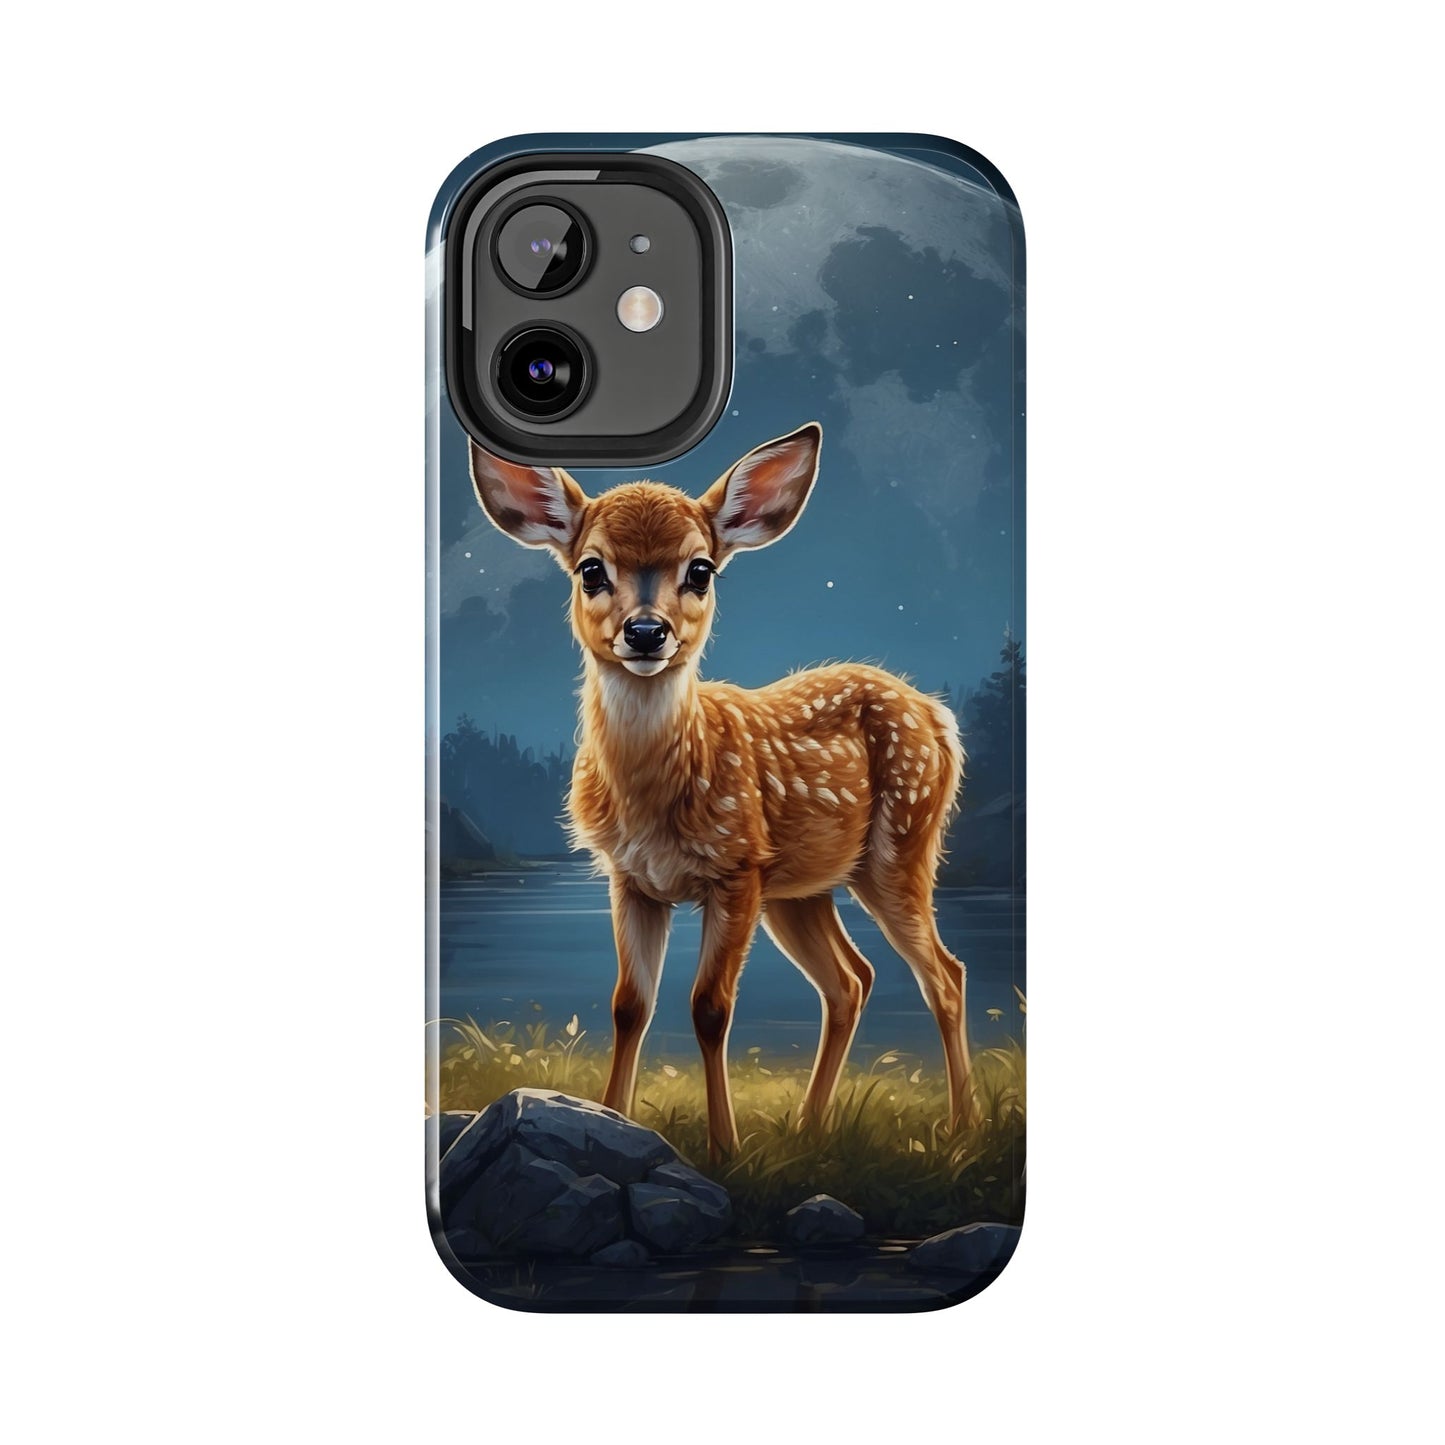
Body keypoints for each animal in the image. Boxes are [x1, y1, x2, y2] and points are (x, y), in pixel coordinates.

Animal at [468, 423, 974, 1160]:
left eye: (700, 570)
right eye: (591, 569)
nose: (646, 631)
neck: (656, 796)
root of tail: (937, 715)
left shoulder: (735, 868)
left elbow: (709, 1008)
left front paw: (726, 1149)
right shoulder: (630, 879)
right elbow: (629, 1006)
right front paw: (610, 1118)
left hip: (900, 846)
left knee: (944, 973)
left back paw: (964, 1128)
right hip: (799, 888)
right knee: (850, 981)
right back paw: (809, 1127)